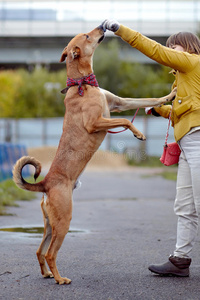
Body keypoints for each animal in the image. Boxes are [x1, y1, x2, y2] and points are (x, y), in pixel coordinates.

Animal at [12, 24, 177, 284]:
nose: (103, 26)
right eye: (88, 36)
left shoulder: (120, 102)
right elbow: (124, 121)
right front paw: (138, 133)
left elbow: (148, 99)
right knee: (50, 253)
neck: (83, 83)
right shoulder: (96, 122)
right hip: (64, 221)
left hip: (50, 224)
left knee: (39, 250)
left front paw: (169, 96)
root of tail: (46, 183)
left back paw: (47, 274)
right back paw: (60, 279)